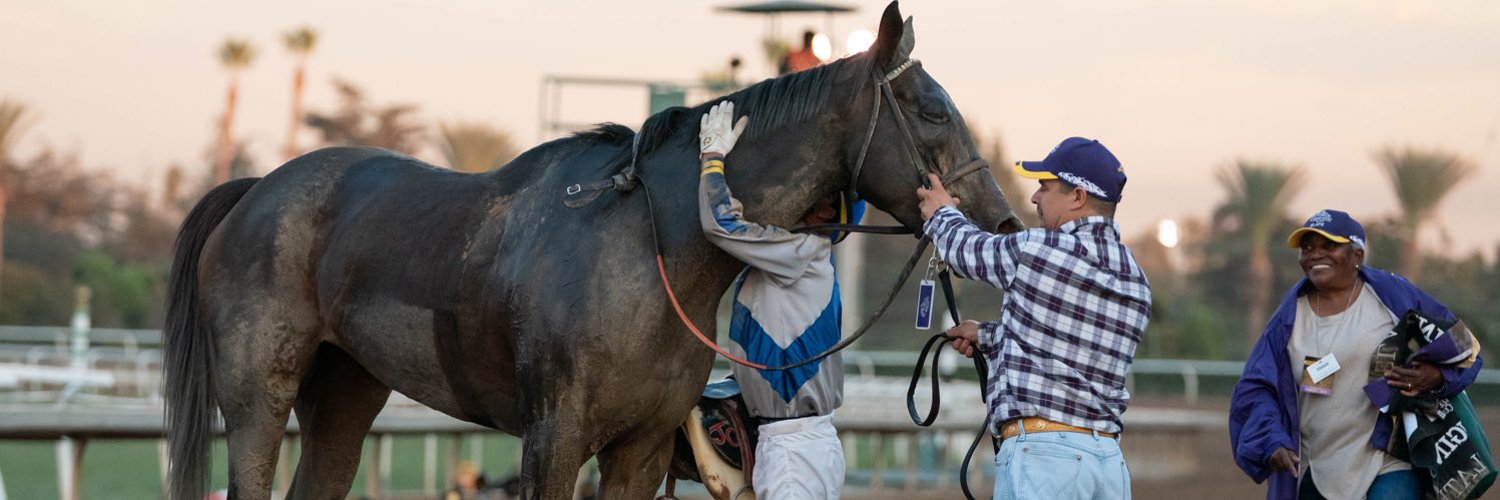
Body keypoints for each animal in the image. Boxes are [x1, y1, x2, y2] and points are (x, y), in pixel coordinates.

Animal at [167, 1, 1032, 495]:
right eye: (930, 110)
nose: (1001, 221)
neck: (653, 254)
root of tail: (258, 189)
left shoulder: (640, 450)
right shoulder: (553, 440)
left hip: (346, 392)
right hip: (257, 398)